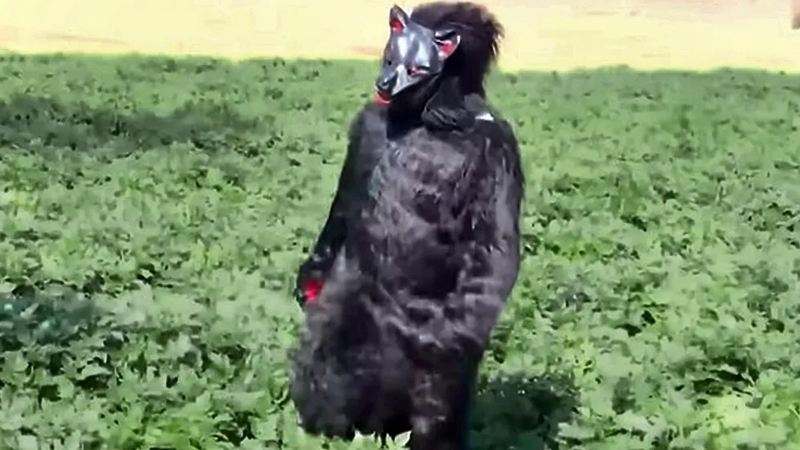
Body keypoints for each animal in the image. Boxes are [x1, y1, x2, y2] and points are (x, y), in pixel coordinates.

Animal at [289, 3, 524, 449]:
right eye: (388, 58)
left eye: (417, 68)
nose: (384, 82)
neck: (423, 119)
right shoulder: (365, 132)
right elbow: (345, 205)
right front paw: (308, 279)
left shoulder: (498, 150)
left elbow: (494, 242)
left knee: (435, 406)